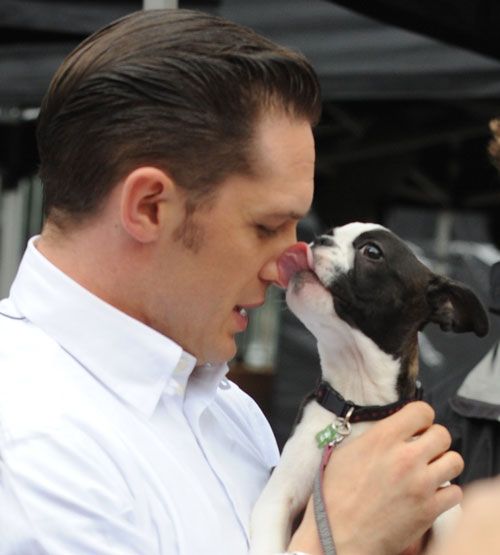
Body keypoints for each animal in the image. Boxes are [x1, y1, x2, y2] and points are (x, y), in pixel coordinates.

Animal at [250, 223, 488, 555]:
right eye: (329, 231)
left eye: (372, 252)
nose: (319, 238)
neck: (358, 405)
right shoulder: (278, 496)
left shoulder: (440, 487)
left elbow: (450, 519)